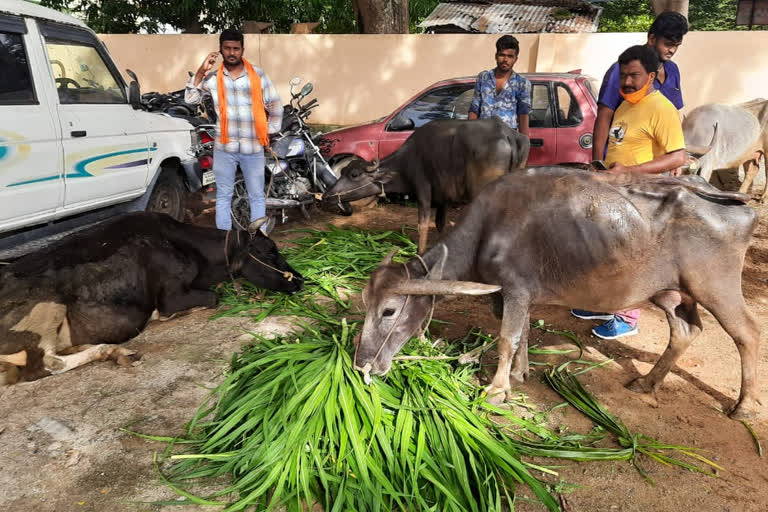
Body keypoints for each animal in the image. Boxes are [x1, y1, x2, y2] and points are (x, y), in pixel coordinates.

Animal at [1, 211, 304, 384]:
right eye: (269, 251)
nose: (301, 280)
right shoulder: (172, 295)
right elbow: (212, 297)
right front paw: (165, 315)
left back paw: (113, 351)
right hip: (46, 307)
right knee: (47, 365)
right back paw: (107, 350)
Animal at [320, 116, 532, 252]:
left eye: (354, 174)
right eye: (343, 172)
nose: (326, 196)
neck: (406, 163)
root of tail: (507, 135)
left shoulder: (423, 191)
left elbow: (422, 224)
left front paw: (420, 253)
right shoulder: (444, 197)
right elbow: (439, 223)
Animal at [356, 168, 760, 420]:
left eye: (389, 311)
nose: (361, 364)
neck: (489, 230)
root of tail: (738, 204)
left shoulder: (515, 291)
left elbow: (507, 338)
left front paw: (497, 389)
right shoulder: (520, 296)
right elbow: (523, 334)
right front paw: (521, 373)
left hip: (717, 288)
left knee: (747, 334)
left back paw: (744, 405)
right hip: (670, 292)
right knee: (686, 331)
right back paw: (647, 382)